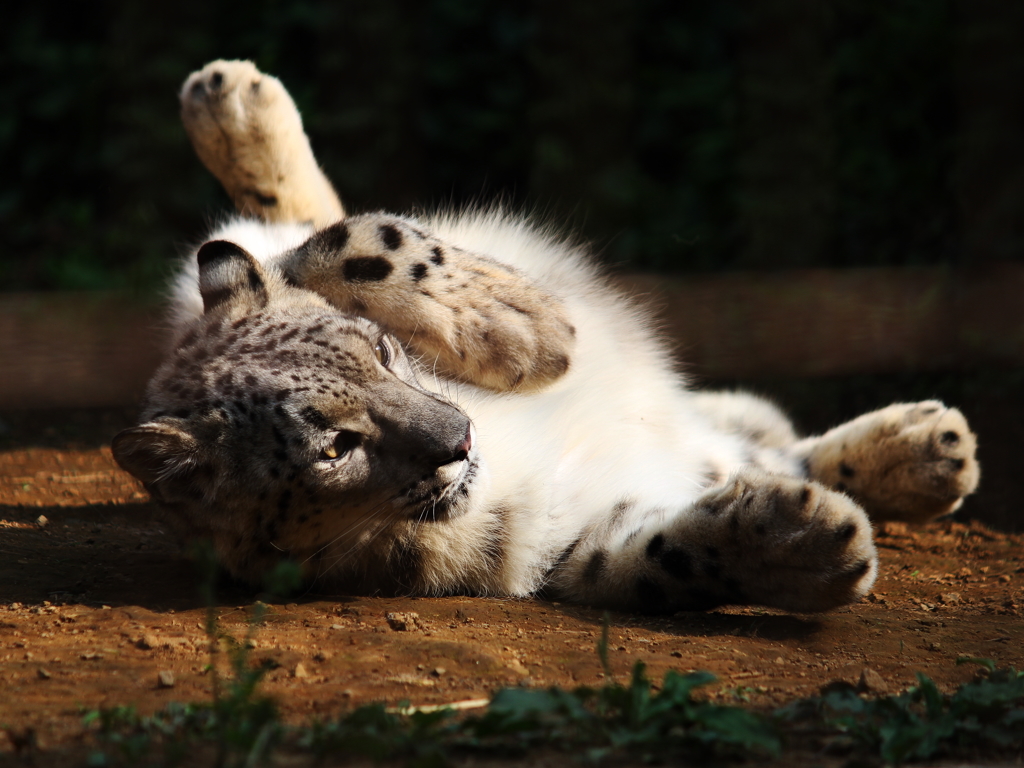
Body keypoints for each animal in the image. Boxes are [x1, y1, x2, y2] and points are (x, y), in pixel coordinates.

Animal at [108, 60, 978, 614]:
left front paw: (528, 327)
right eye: (335, 447)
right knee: (761, 453)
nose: (458, 437)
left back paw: (229, 97)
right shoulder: (565, 544)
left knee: (301, 216)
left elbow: (355, 238)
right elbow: (659, 561)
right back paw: (926, 454)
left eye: (380, 353)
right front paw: (806, 544)